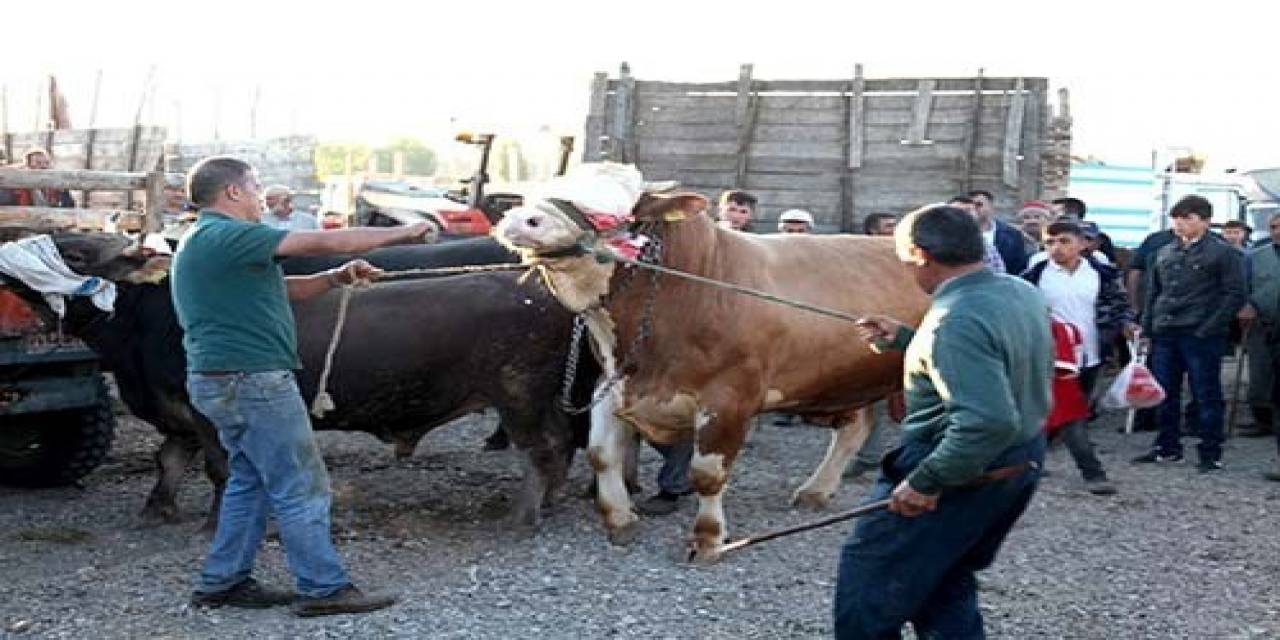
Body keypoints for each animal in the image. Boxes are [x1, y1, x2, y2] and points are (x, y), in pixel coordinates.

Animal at [494, 165, 926, 560]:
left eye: (612, 212)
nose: (521, 219)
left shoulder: (730, 399)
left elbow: (707, 473)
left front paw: (708, 539)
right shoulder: (613, 383)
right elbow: (602, 454)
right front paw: (620, 519)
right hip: (847, 377)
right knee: (854, 427)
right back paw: (816, 490)